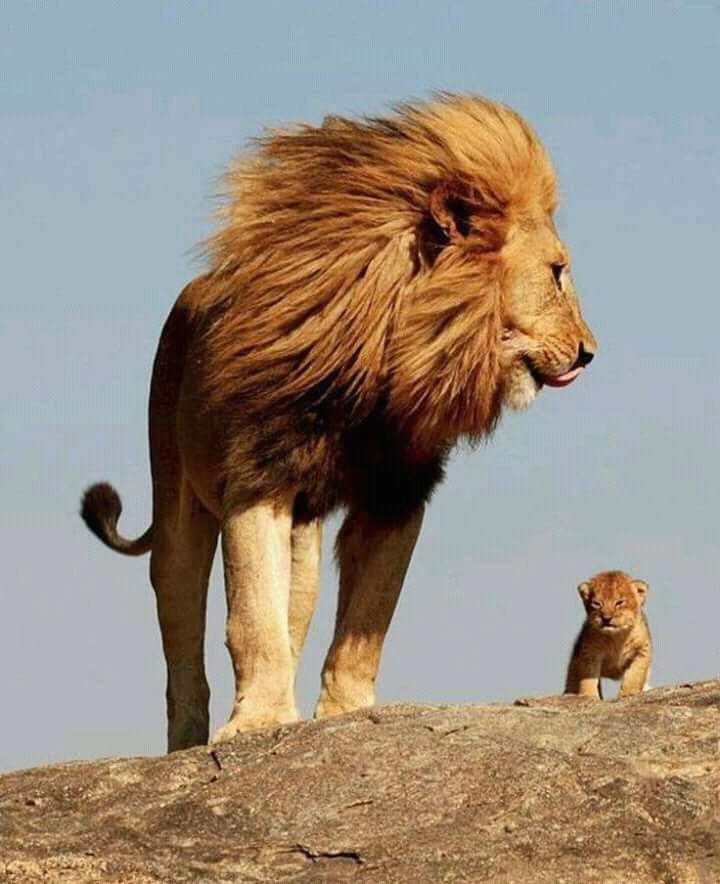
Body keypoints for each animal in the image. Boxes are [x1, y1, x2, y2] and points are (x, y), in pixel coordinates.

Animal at [81, 94, 597, 752]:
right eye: (557, 272)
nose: (589, 353)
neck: (386, 357)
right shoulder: (257, 477)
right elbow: (251, 616)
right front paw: (259, 722)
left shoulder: (397, 494)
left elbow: (366, 621)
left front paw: (344, 715)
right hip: (177, 509)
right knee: (182, 635)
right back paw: (189, 743)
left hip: (304, 542)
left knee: (294, 612)